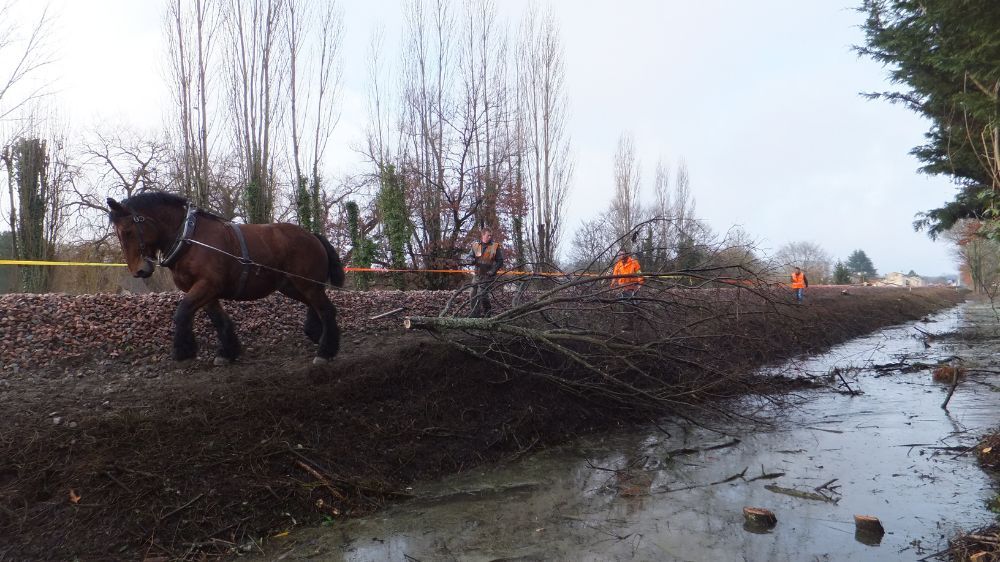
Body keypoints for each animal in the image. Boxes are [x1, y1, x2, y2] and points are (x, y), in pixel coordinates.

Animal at [107, 191, 346, 364]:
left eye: (128, 231)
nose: (139, 271)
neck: (189, 238)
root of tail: (312, 235)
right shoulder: (205, 291)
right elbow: (217, 319)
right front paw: (226, 351)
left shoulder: (207, 285)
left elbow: (182, 312)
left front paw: (182, 350)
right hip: (293, 286)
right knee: (317, 307)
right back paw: (318, 335)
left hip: (307, 285)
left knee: (326, 310)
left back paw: (325, 351)